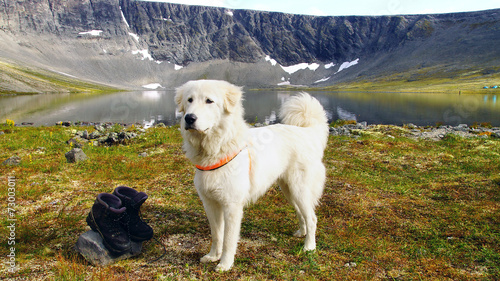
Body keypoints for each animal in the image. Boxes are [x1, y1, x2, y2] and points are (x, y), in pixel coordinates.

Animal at [174, 79, 330, 270]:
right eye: (189, 100)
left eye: (209, 101)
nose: (189, 118)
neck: (216, 148)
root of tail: (307, 132)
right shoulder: (210, 203)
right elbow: (217, 235)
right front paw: (213, 256)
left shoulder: (232, 207)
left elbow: (228, 240)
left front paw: (225, 264)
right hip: (289, 190)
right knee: (302, 214)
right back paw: (301, 232)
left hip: (300, 189)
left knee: (312, 218)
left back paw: (309, 247)